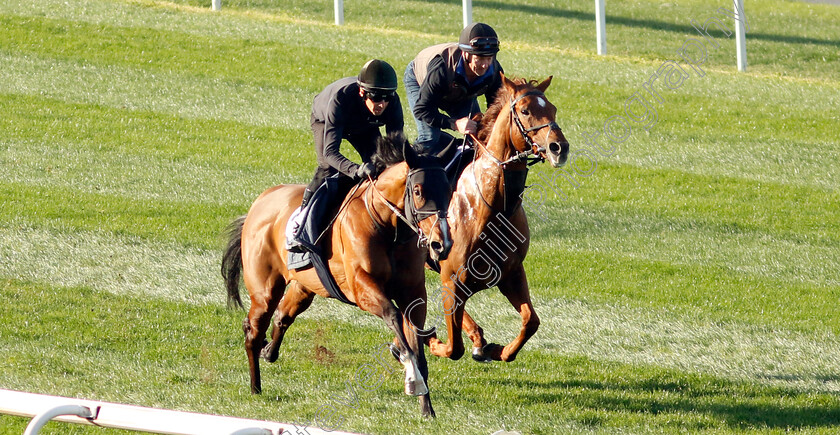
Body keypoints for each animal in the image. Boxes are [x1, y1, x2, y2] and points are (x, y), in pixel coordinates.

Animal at [220, 138, 450, 418]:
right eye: (417, 190)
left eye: (448, 189)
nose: (441, 244)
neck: (387, 227)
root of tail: (259, 202)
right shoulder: (361, 286)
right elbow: (394, 317)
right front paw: (411, 375)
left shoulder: (414, 293)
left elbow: (415, 336)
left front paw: (427, 407)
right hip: (265, 289)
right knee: (253, 329)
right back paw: (255, 387)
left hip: (303, 286)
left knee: (282, 316)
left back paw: (268, 352)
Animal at [418, 75, 572, 364]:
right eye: (525, 110)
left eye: (553, 109)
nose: (560, 148)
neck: (493, 208)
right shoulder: (452, 277)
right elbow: (453, 347)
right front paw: (433, 341)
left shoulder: (511, 272)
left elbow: (530, 321)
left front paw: (498, 350)